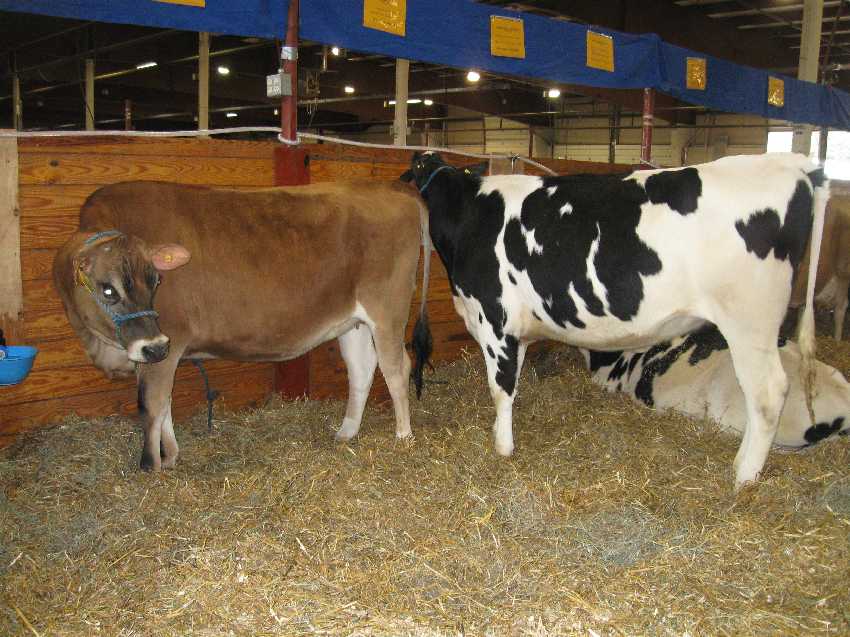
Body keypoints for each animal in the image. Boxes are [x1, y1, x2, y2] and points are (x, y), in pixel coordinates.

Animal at [53, 180, 432, 471]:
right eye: (107, 289)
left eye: (156, 280)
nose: (155, 345)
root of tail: (389, 186)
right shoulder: (152, 351)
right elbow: (165, 406)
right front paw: (170, 456)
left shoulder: (166, 344)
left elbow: (151, 405)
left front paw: (151, 465)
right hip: (353, 321)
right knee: (362, 369)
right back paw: (346, 432)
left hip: (387, 308)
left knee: (397, 367)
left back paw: (403, 436)